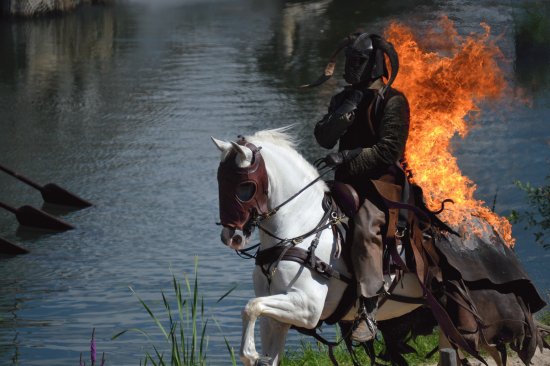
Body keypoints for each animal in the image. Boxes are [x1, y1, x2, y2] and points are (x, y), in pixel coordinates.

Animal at [212, 127, 426, 364]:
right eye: (220, 181)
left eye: (245, 186)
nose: (232, 237)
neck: (300, 226)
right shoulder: (276, 319)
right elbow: (257, 314)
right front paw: (254, 355)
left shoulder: (307, 308)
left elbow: (251, 306)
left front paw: (249, 353)